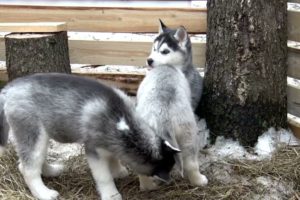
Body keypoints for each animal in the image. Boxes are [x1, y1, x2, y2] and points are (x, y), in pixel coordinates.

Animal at [0, 73, 179, 200]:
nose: (168, 181)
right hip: (32, 132)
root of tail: (9, 88)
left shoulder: (112, 144)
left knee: (32, 161)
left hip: (42, 136)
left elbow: (114, 157)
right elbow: (104, 177)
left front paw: (118, 170)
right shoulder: (94, 150)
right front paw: (112, 194)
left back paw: (52, 171)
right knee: (27, 167)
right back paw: (44, 193)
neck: (123, 122)